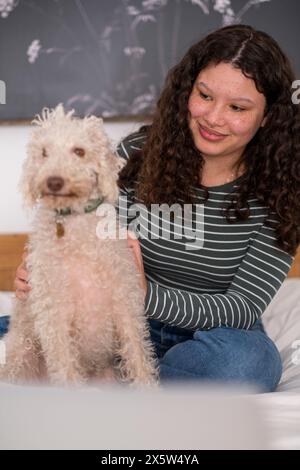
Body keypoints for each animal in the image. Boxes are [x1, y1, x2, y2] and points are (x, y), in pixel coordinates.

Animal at [0, 105, 158, 386]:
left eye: (79, 151)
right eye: (44, 152)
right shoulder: (55, 317)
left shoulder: (126, 306)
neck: (74, 228)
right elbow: (66, 369)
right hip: (21, 353)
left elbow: (139, 359)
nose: (54, 181)